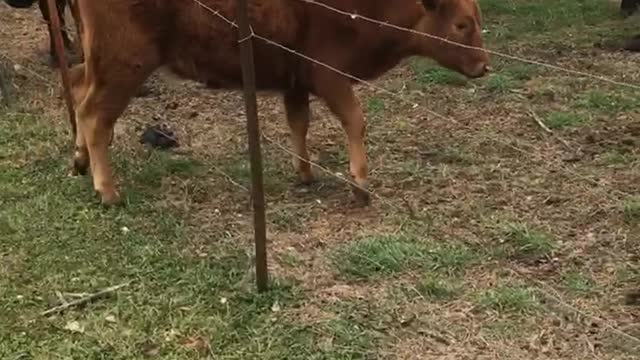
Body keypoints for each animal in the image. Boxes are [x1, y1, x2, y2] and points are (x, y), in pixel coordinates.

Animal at [70, 0, 488, 207]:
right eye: (462, 25)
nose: (485, 66)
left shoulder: (296, 81)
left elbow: (298, 122)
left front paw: (305, 173)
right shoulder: (330, 77)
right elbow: (355, 120)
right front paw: (360, 184)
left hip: (100, 61)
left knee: (76, 87)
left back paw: (79, 161)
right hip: (125, 63)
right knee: (95, 115)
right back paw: (108, 191)